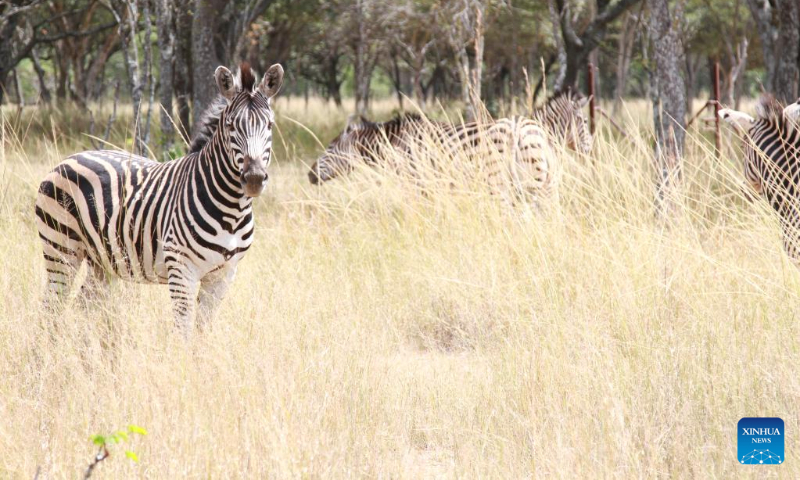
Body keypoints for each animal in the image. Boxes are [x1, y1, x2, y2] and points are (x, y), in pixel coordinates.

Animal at [35, 62, 284, 332]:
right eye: (230, 126)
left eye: (269, 126)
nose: (254, 179)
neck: (232, 211)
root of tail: (70, 157)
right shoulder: (182, 270)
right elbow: (183, 330)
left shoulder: (224, 274)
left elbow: (203, 330)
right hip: (60, 248)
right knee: (51, 307)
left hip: (101, 260)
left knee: (86, 304)